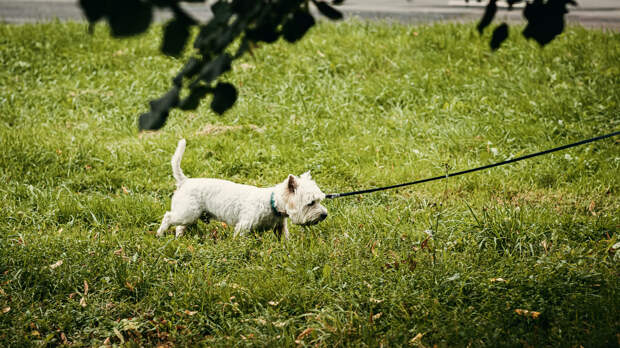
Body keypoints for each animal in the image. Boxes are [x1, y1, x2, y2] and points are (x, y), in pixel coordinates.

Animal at [156, 139, 330, 239]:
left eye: (319, 200)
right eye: (311, 203)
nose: (325, 215)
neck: (273, 204)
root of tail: (185, 181)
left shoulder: (280, 228)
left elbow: (284, 240)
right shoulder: (243, 226)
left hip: (190, 215)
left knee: (179, 226)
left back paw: (179, 237)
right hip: (187, 212)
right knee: (168, 217)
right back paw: (160, 234)